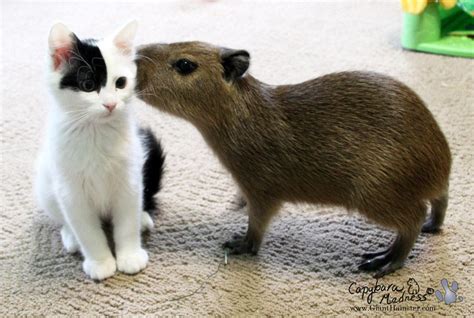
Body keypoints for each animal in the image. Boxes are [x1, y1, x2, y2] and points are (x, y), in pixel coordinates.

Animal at [34, 21, 164, 280]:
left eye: (121, 83)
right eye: (88, 85)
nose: (111, 104)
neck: (96, 133)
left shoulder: (128, 181)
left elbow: (126, 223)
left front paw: (129, 256)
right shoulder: (71, 192)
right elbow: (87, 231)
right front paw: (100, 262)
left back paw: (143, 218)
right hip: (46, 186)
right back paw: (70, 236)